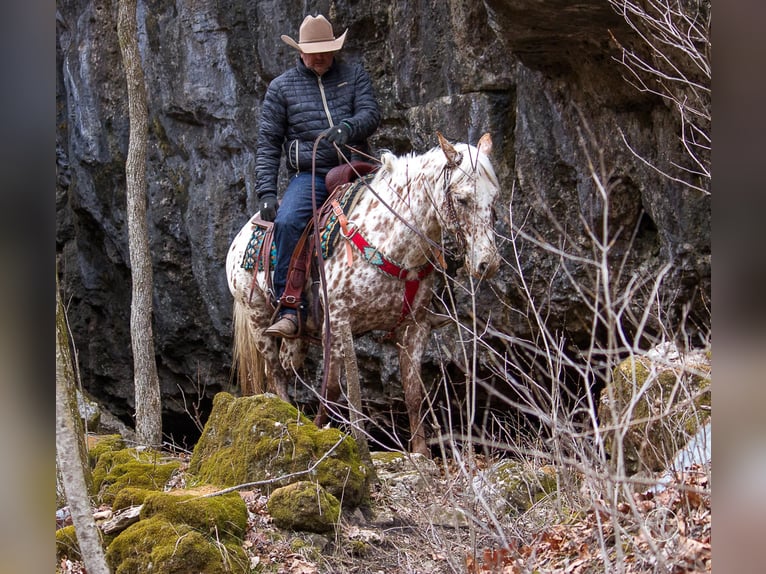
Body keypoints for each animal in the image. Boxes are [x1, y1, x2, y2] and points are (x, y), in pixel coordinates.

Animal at [226, 133, 504, 456]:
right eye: (462, 199)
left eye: (494, 197)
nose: (488, 264)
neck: (390, 242)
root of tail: (245, 232)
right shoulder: (337, 323)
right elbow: (334, 389)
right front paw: (323, 432)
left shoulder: (416, 327)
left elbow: (413, 393)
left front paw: (420, 453)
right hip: (258, 320)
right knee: (276, 375)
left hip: (296, 338)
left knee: (287, 364)